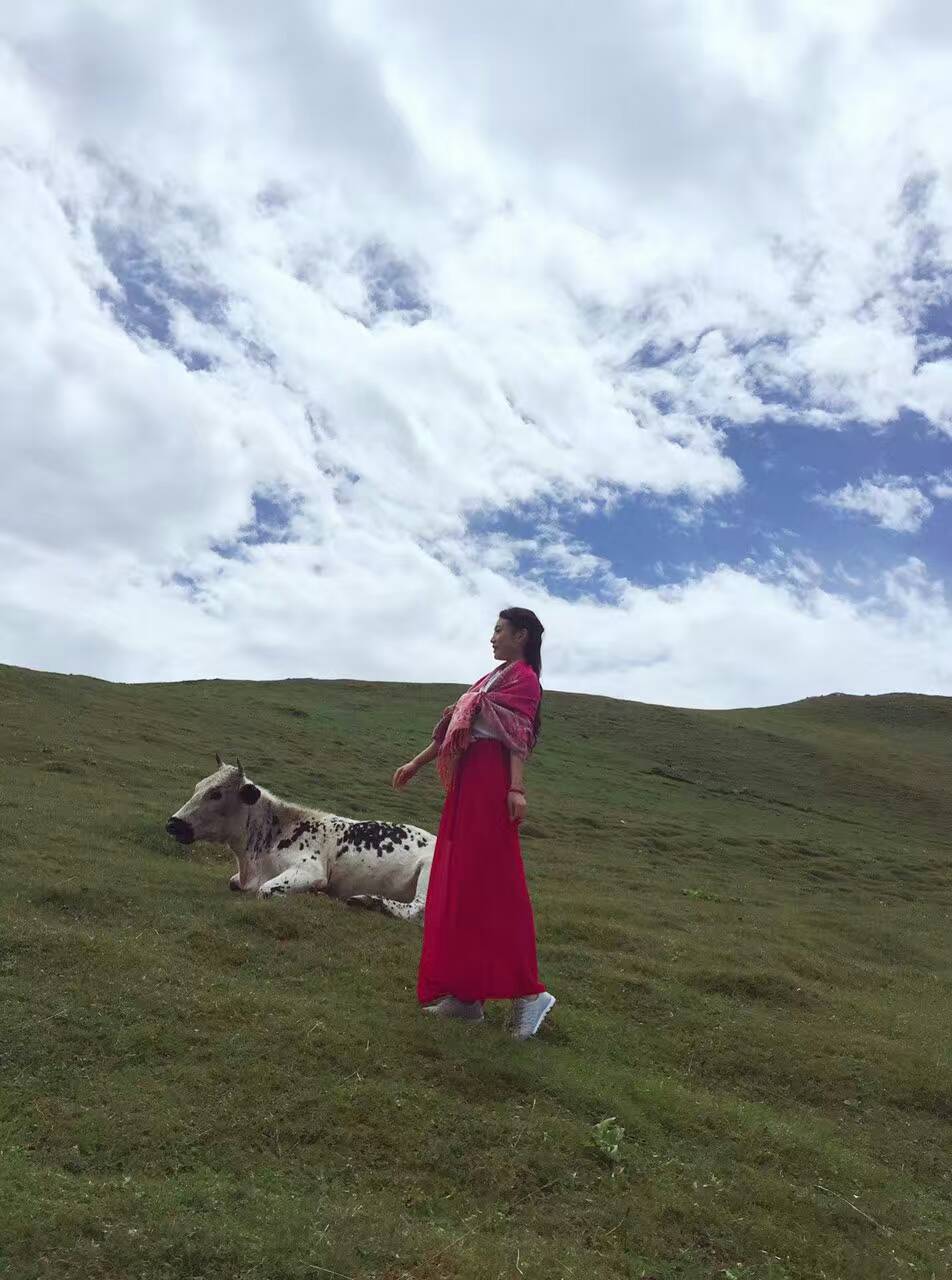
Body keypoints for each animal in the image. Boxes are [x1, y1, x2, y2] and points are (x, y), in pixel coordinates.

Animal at [165, 756, 433, 923]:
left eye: (216, 793)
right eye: (198, 786)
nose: (173, 823)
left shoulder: (309, 869)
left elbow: (265, 890)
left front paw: (316, 893)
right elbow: (234, 883)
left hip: (427, 872)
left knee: (416, 908)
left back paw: (367, 901)